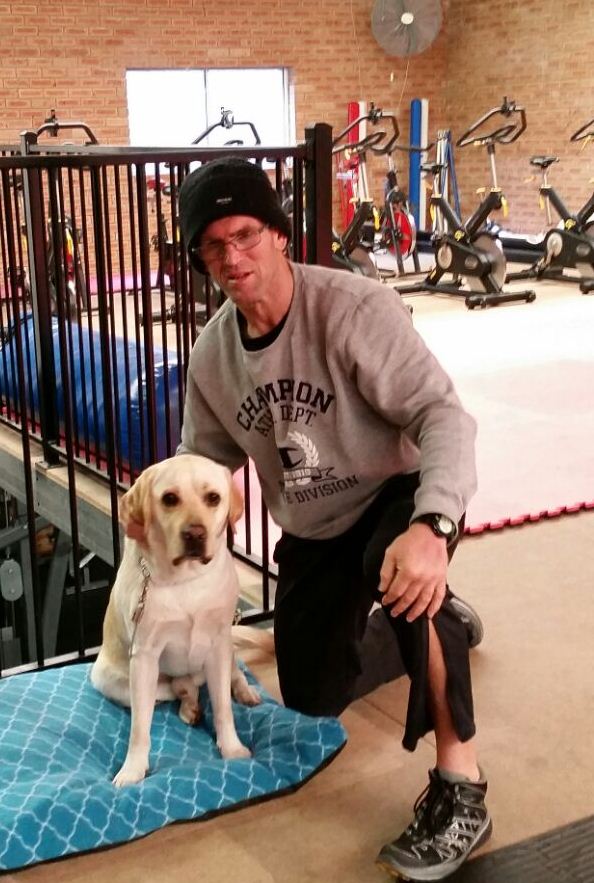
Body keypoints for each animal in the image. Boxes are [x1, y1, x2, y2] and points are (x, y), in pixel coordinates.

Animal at [90, 456, 260, 788]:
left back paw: (244, 692)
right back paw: (189, 704)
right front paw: (132, 770)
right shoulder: (144, 657)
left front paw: (232, 749)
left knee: (233, 673)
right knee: (176, 687)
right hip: (109, 678)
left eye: (213, 498)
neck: (185, 579)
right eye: (170, 498)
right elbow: (139, 728)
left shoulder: (218, 645)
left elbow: (223, 707)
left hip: (225, 648)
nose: (195, 534)